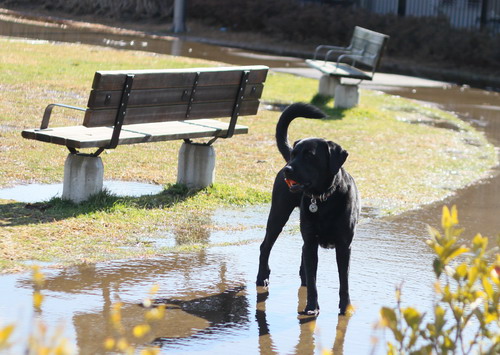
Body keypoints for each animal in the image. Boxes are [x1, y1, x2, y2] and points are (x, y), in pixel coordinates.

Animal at [258, 103, 360, 318]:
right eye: (295, 154)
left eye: (310, 156)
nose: (288, 169)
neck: (324, 198)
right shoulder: (312, 242)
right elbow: (313, 281)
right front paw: (312, 306)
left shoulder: (344, 246)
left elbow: (344, 281)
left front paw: (345, 307)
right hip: (278, 214)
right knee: (265, 246)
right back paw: (262, 277)